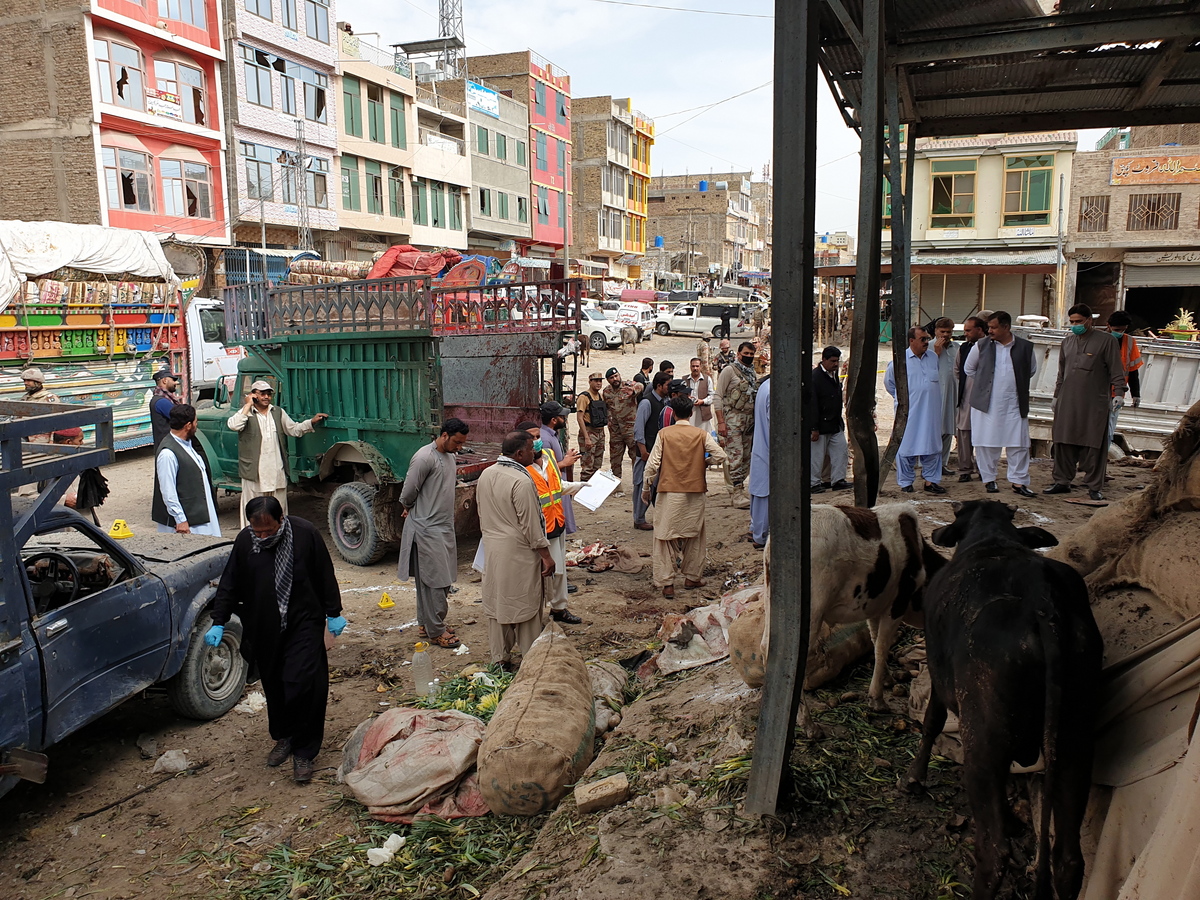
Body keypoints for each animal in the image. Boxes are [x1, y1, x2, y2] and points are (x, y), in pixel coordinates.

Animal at [902, 504, 1099, 900]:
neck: (992, 539)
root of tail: (1043, 604)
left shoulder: (937, 672)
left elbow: (931, 722)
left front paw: (915, 778)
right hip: (1076, 744)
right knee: (1069, 859)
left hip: (982, 742)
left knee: (994, 850)